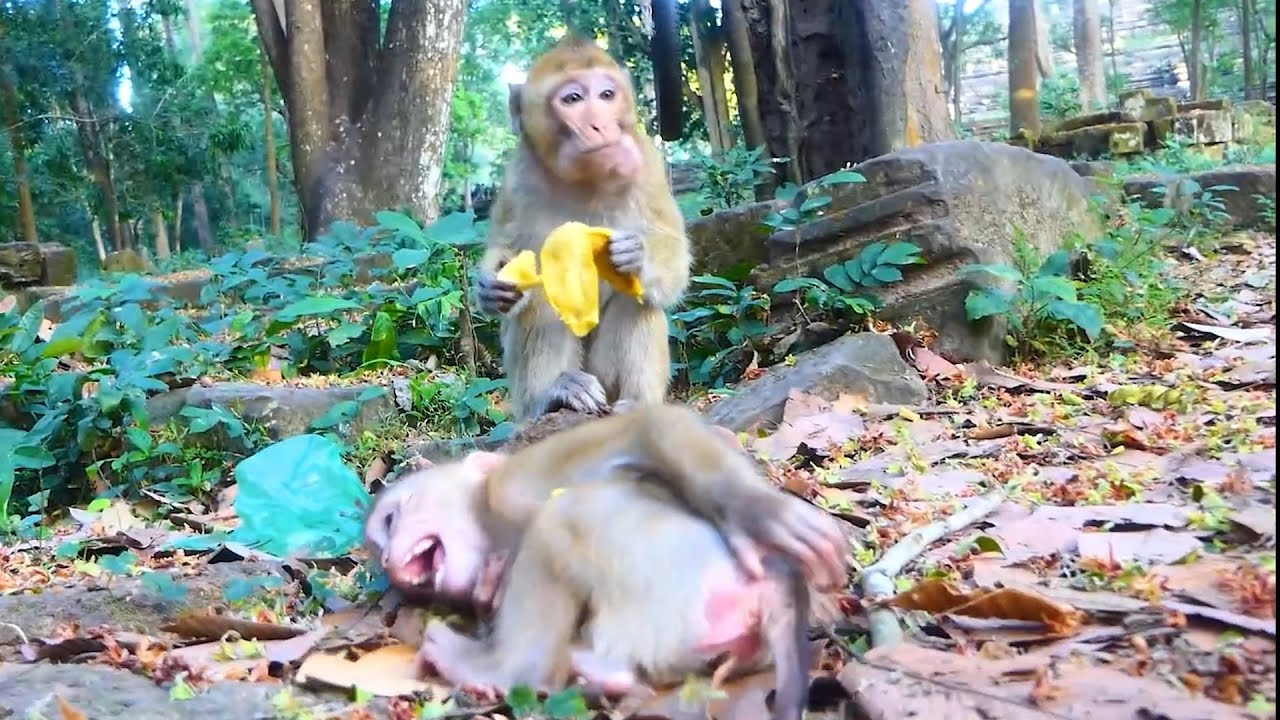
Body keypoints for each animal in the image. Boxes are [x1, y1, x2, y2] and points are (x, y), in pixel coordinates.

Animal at [363, 404, 848, 614]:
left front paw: (754, 511)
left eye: (390, 518)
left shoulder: (515, 483)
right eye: (378, 552)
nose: (386, 560)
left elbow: (649, 424)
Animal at [474, 36, 692, 422]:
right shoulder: (517, 179)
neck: (585, 181)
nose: (601, 126)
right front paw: (490, 285)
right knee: (541, 297)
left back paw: (638, 403)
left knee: (636, 297)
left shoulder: (647, 166)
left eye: (606, 95)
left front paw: (636, 255)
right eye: (573, 99)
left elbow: (673, 260)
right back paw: (553, 394)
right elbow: (507, 247)